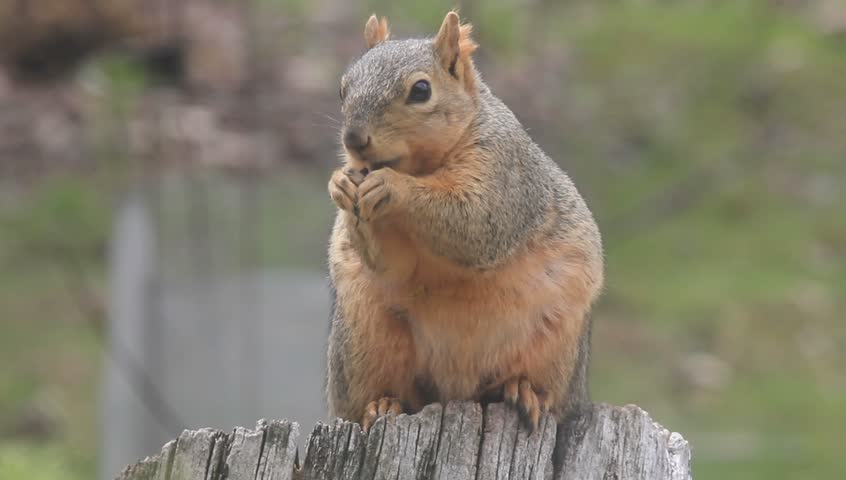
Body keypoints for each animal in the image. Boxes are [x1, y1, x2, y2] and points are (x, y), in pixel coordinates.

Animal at [324, 11, 604, 432]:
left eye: (421, 90)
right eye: (343, 89)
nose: (354, 139)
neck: (422, 166)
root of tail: (456, 392)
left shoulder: (503, 172)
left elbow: (474, 221)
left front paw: (393, 186)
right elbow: (392, 265)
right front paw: (340, 184)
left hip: (557, 349)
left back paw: (523, 391)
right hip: (364, 340)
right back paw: (384, 405)